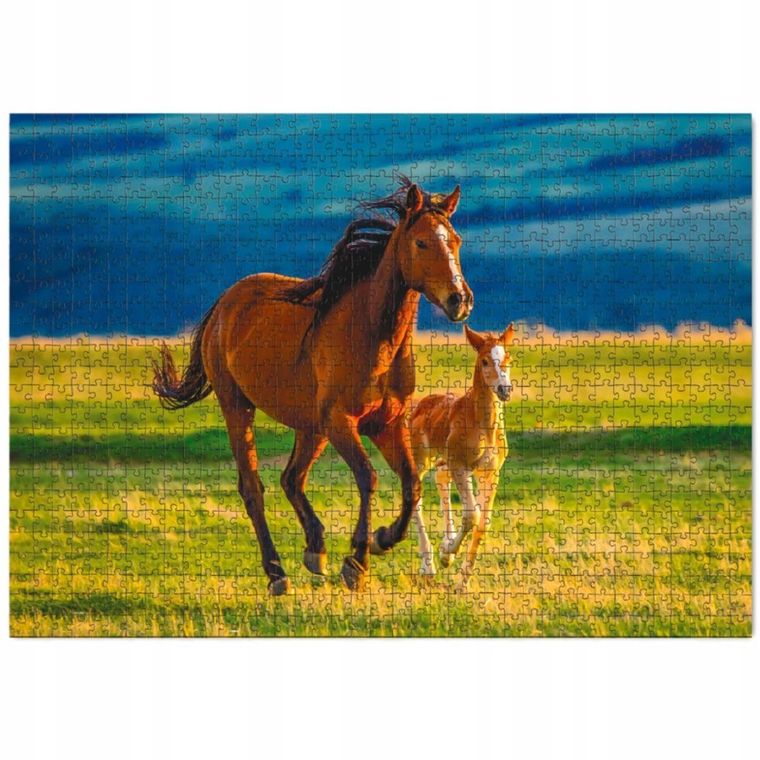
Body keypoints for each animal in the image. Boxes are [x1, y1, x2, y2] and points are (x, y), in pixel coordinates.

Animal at [152, 179, 474, 594]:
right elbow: (368, 478)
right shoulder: (342, 423)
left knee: (291, 479)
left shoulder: (386, 424)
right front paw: (357, 561)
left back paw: (315, 550)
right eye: (421, 243)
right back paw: (277, 573)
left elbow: (411, 485)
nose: (460, 300)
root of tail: (225, 304)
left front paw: (382, 539)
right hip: (238, 408)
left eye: (456, 241)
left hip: (310, 427)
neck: (372, 336)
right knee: (253, 488)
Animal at [409, 323, 514, 590]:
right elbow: (472, 515)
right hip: (422, 460)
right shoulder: (460, 465)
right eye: (485, 360)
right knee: (416, 497)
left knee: (440, 479)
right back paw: (429, 566)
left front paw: (462, 582)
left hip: (445, 461)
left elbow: (483, 522)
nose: (505, 390)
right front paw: (447, 555)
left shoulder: (490, 472)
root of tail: (419, 405)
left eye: (508, 359)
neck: (484, 426)